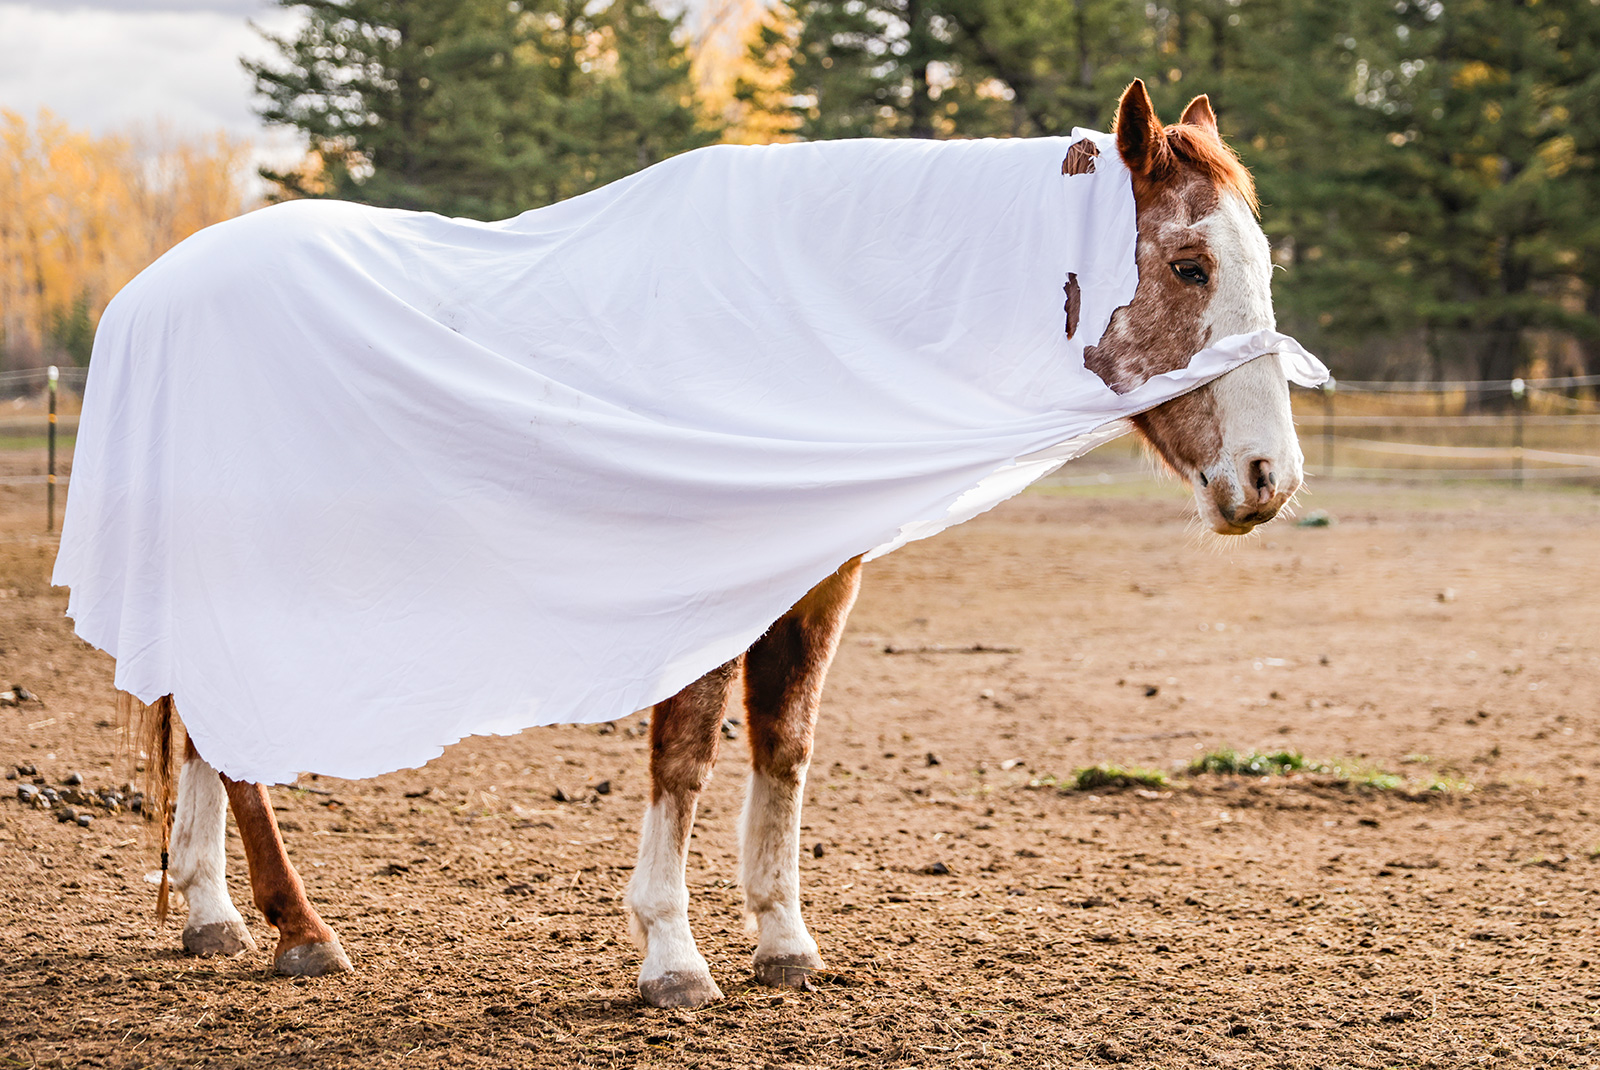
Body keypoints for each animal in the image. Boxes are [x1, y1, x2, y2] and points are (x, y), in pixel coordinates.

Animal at [121, 81, 1299, 1004]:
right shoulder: (702, 579)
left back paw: (216, 914)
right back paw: (300, 928)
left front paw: (783, 939)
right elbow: (684, 754)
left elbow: (784, 745)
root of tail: (157, 288)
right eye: (1189, 265)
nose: (1268, 478)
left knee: (206, 726)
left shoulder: (817, 580)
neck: (789, 331)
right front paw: (672, 957)